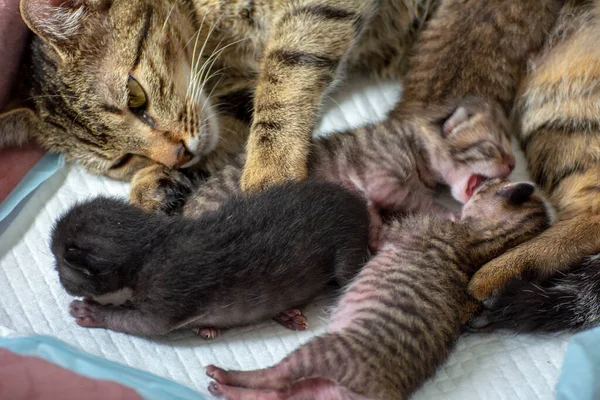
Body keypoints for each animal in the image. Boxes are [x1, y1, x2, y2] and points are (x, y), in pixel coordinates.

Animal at [52, 183, 370, 340]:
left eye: (58, 264)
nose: (59, 282)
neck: (152, 244)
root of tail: (357, 202)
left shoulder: (169, 291)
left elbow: (145, 324)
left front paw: (94, 312)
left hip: (347, 246)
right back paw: (286, 313)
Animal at [204, 179, 552, 400]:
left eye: (484, 187)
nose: (475, 185)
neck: (481, 244)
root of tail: (383, 392)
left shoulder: (387, 237)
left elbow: (373, 221)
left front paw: (366, 193)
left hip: (326, 351)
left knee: (276, 377)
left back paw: (223, 377)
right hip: (318, 391)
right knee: (278, 394)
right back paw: (228, 389)